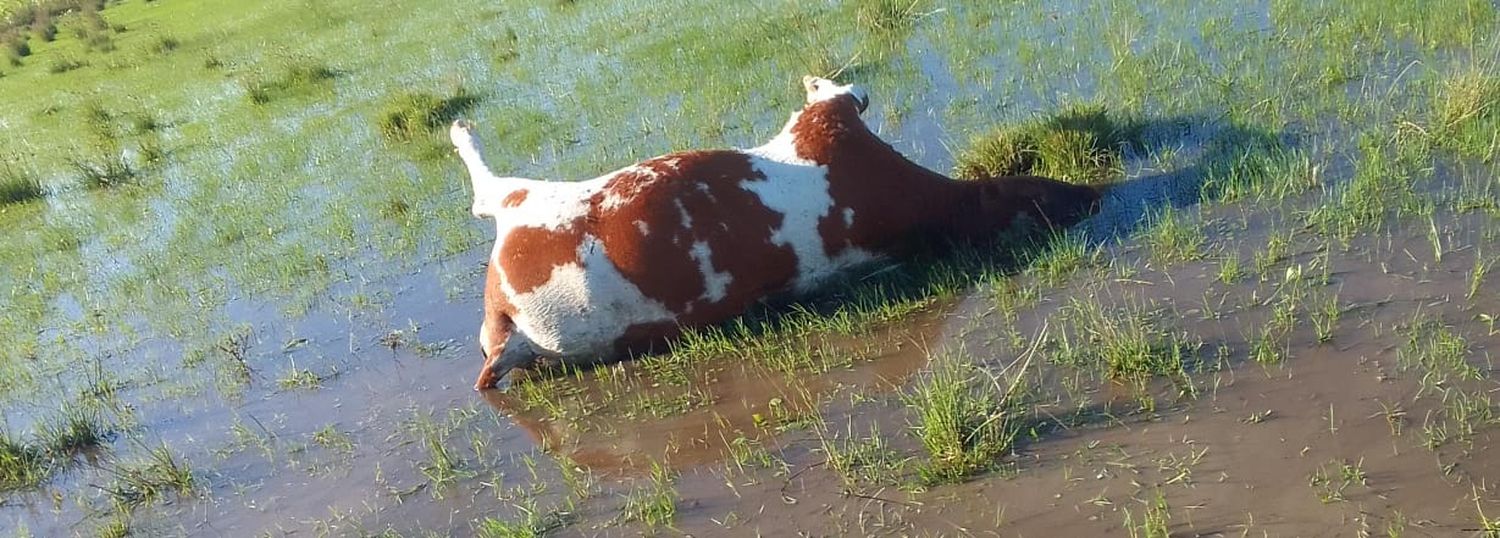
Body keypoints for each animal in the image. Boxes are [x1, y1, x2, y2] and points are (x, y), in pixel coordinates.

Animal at [450, 75, 1098, 389]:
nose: (1094, 197)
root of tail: (513, 335)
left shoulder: (826, 130)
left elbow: (841, 96)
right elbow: (844, 94)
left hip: (528, 206)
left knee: (488, 192)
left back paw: (461, 132)